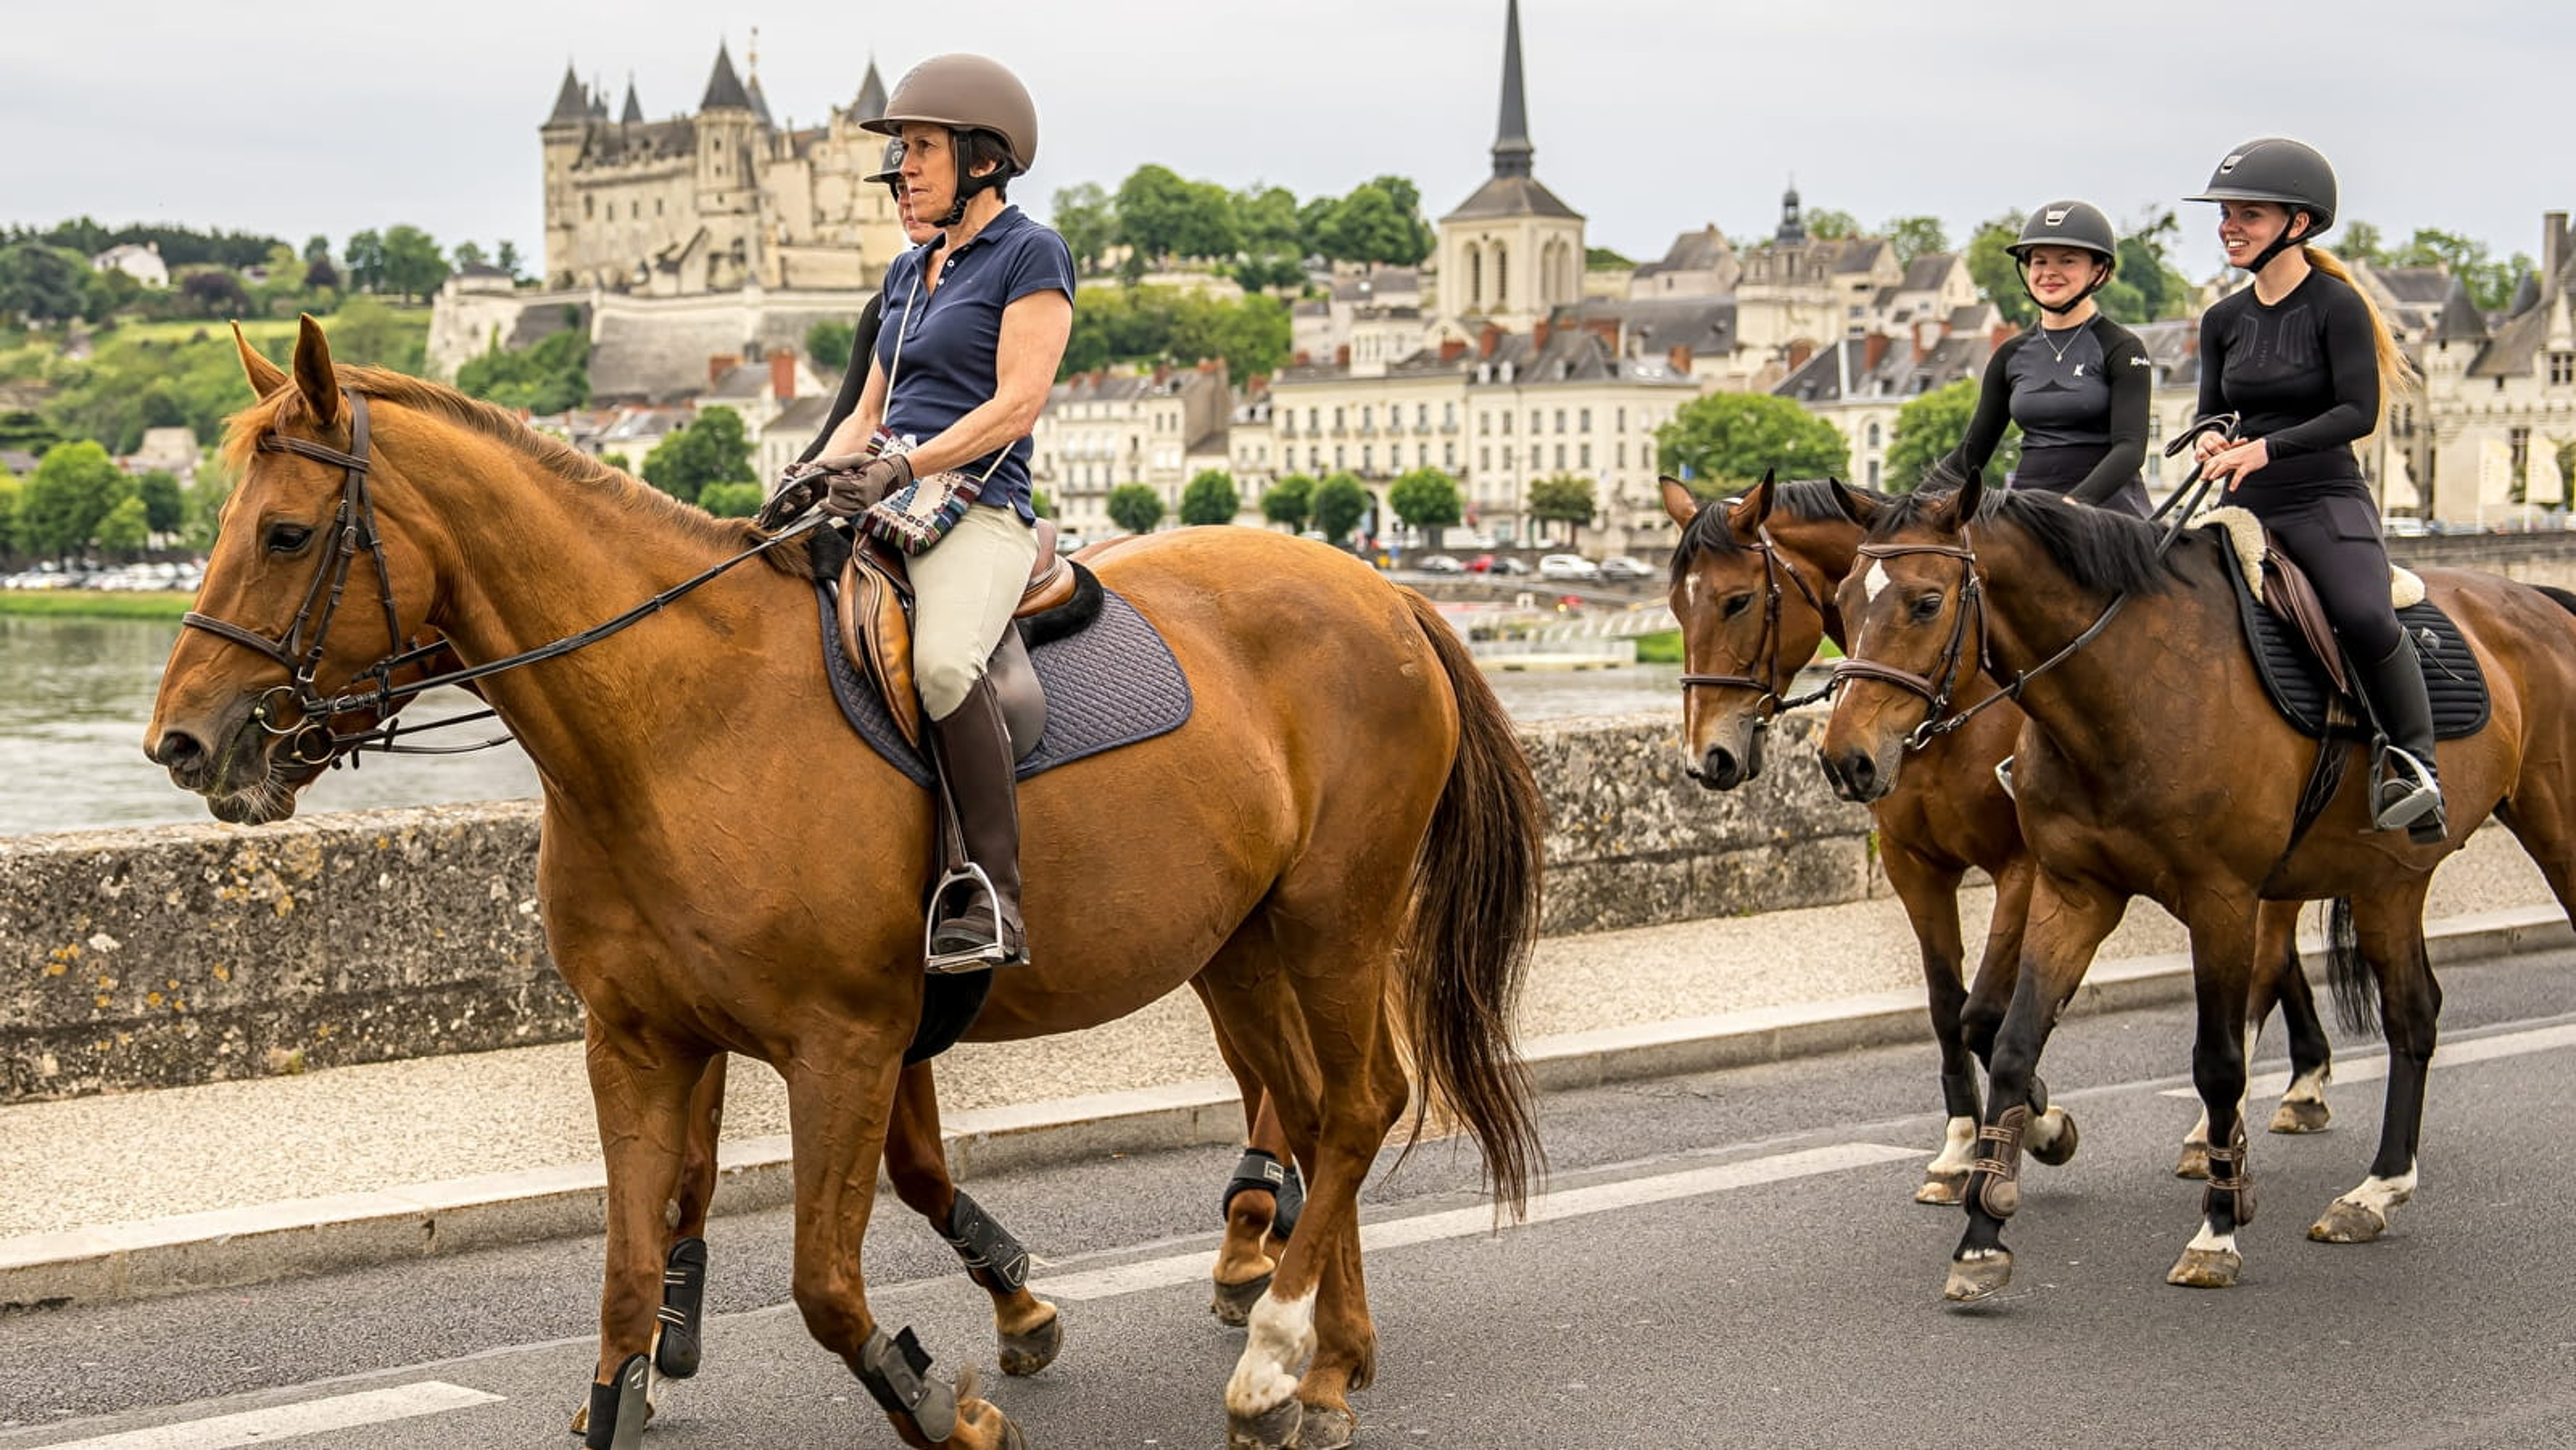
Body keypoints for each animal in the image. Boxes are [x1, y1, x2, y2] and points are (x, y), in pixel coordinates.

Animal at [146, 320, 1545, 1450]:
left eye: (284, 533)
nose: (183, 743)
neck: (676, 721)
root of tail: (1380, 591)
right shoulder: (640, 1044)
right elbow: (631, 1265)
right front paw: (633, 1385)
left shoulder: (848, 1043)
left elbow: (826, 1283)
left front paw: (943, 1402)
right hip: (1241, 943)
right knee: (1311, 1114)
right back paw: (1332, 1363)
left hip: (1332, 920)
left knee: (1358, 1106)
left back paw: (1276, 1363)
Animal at [1659, 476, 2349, 1205]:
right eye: (1675, 608)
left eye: (1736, 601)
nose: (1706, 758)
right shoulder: (1914, 865)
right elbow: (1946, 1008)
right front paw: (1962, 1143)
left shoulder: (2023, 869)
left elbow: (1983, 1013)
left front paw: (2040, 1125)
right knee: (2277, 956)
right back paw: (2299, 1084)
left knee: (2266, 960)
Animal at [1813, 476, 2576, 1303]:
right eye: (1844, 600)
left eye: (1925, 602)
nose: (1844, 759)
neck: (2128, 686)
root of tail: (2538, 597)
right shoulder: (2070, 891)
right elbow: (2013, 1041)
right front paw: (1983, 1233)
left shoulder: (2219, 900)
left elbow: (2217, 1060)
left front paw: (2216, 1230)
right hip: (2387, 881)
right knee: (2413, 1014)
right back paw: (2375, 1191)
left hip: (2547, 832)